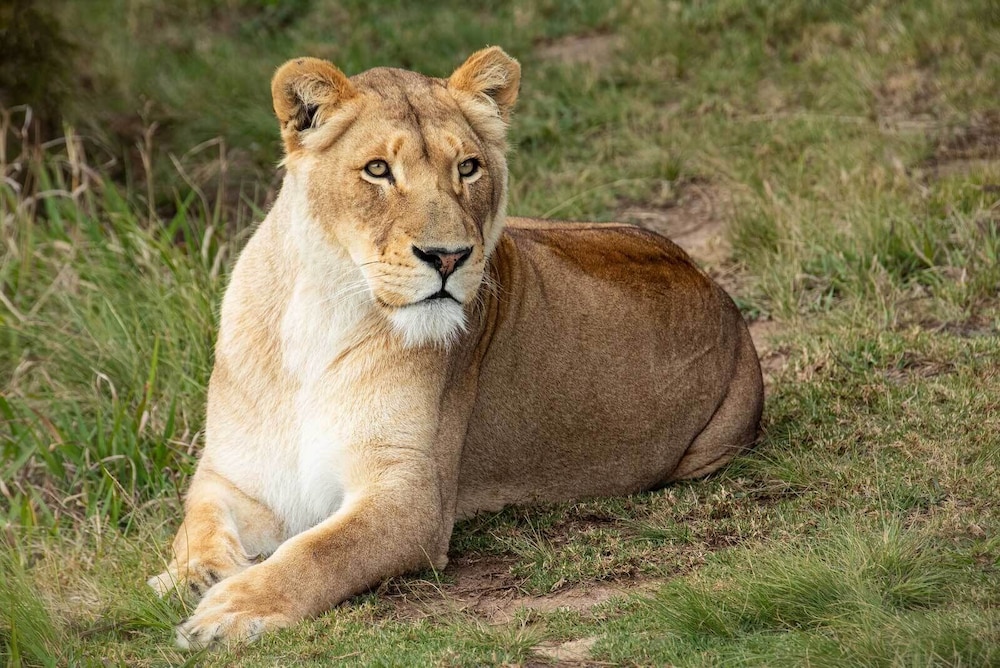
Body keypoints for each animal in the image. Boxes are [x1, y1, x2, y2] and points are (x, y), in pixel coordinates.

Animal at [149, 46, 764, 649]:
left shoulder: (411, 498)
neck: (320, 313)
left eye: (467, 167)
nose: (447, 256)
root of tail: (713, 286)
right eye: (378, 169)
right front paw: (192, 575)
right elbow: (195, 523)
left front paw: (231, 609)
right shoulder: (234, 475)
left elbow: (319, 552)